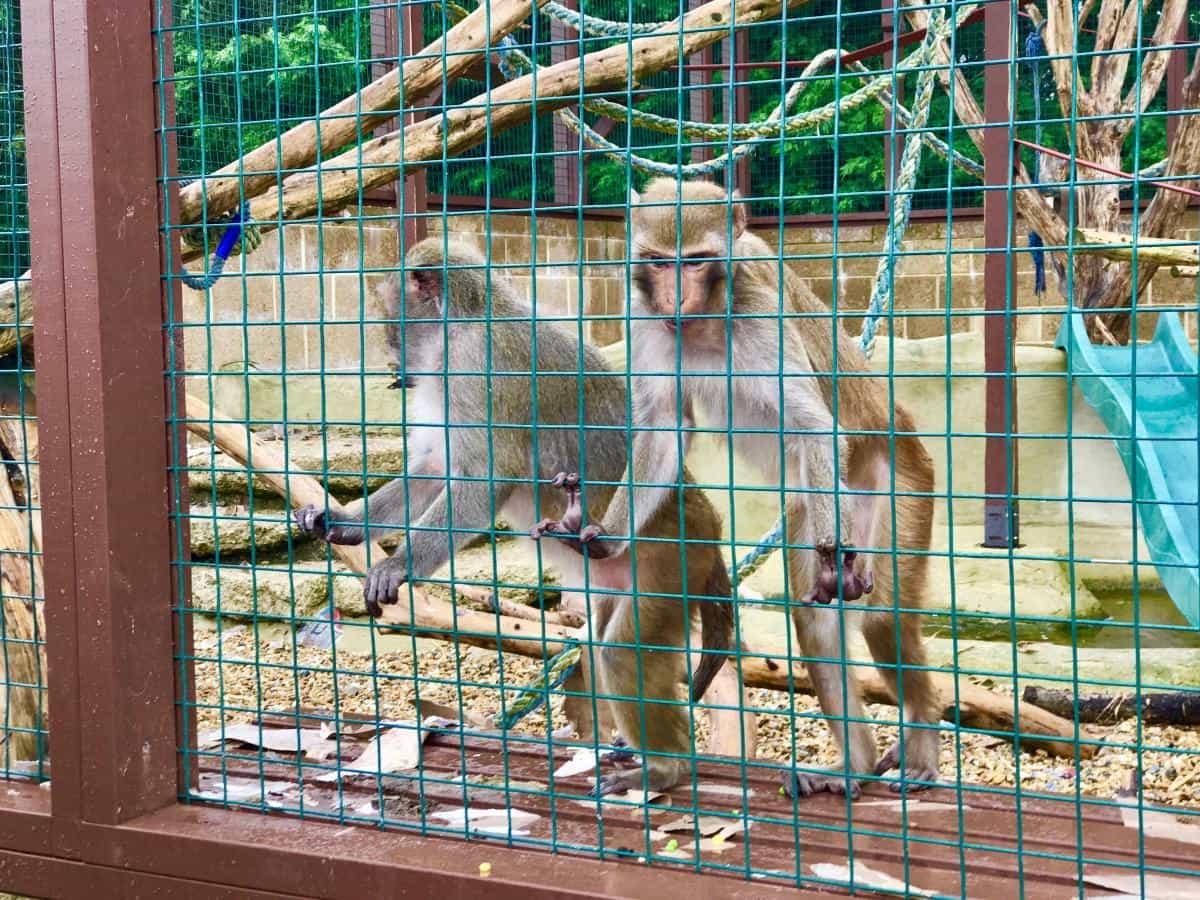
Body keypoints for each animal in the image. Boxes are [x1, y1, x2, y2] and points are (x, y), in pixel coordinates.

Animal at [293, 237, 736, 794]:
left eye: (391, 320)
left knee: (621, 653)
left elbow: (485, 479)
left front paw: (397, 565)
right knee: (599, 643)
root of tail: (707, 522)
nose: (391, 357)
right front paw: (343, 522)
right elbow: (433, 470)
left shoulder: (476, 369)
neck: (465, 321)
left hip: (672, 562)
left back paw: (666, 769)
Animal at [533, 178, 940, 799]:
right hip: (816, 507)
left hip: (897, 486)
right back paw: (854, 765)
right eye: (660, 262)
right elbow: (665, 426)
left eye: (697, 262)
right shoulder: (643, 318)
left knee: (882, 617)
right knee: (817, 625)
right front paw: (602, 534)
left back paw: (920, 740)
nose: (676, 300)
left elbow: (815, 426)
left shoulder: (759, 314)